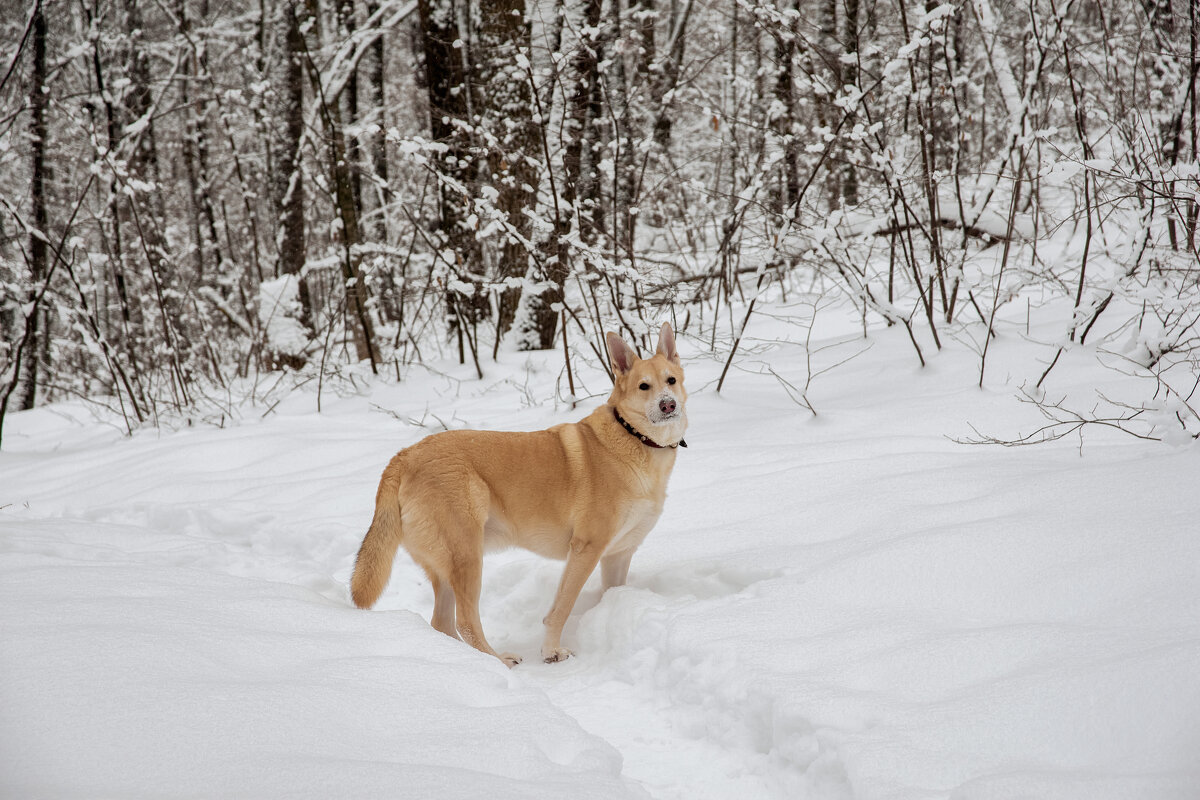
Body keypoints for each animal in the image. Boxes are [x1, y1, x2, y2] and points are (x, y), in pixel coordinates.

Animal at [350, 321, 686, 666]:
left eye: (670, 380)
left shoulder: (619, 553)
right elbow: (561, 608)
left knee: (442, 622)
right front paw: (551, 651)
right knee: (465, 622)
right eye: (644, 386)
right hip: (467, 557)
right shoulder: (586, 549)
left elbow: (612, 593)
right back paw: (497, 662)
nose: (668, 404)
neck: (635, 438)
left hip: (445, 565)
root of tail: (403, 456)